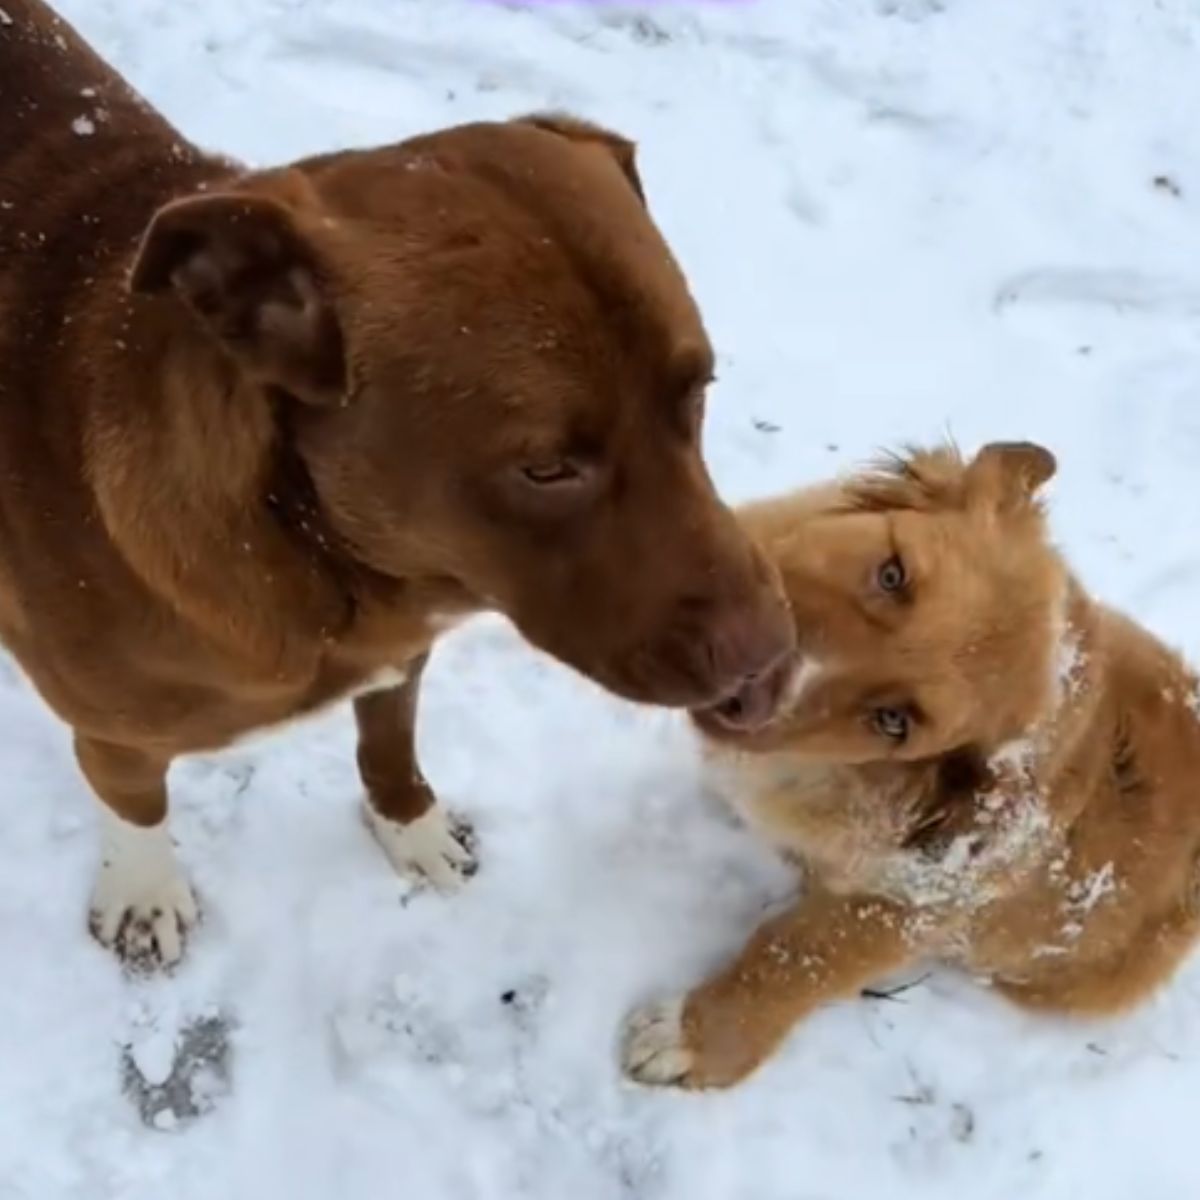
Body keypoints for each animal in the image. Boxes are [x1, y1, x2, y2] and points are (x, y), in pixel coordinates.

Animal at [0, 0, 796, 969]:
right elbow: (137, 807)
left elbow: (389, 744)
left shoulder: (399, 651)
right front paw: (145, 892)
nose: (772, 668)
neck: (324, 557)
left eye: (699, 393)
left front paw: (411, 827)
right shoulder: (116, 732)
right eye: (545, 469)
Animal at [624, 446, 1200, 1094]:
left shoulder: (904, 908)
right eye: (892, 574)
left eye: (893, 721)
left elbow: (795, 959)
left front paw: (693, 1037)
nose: (744, 684)